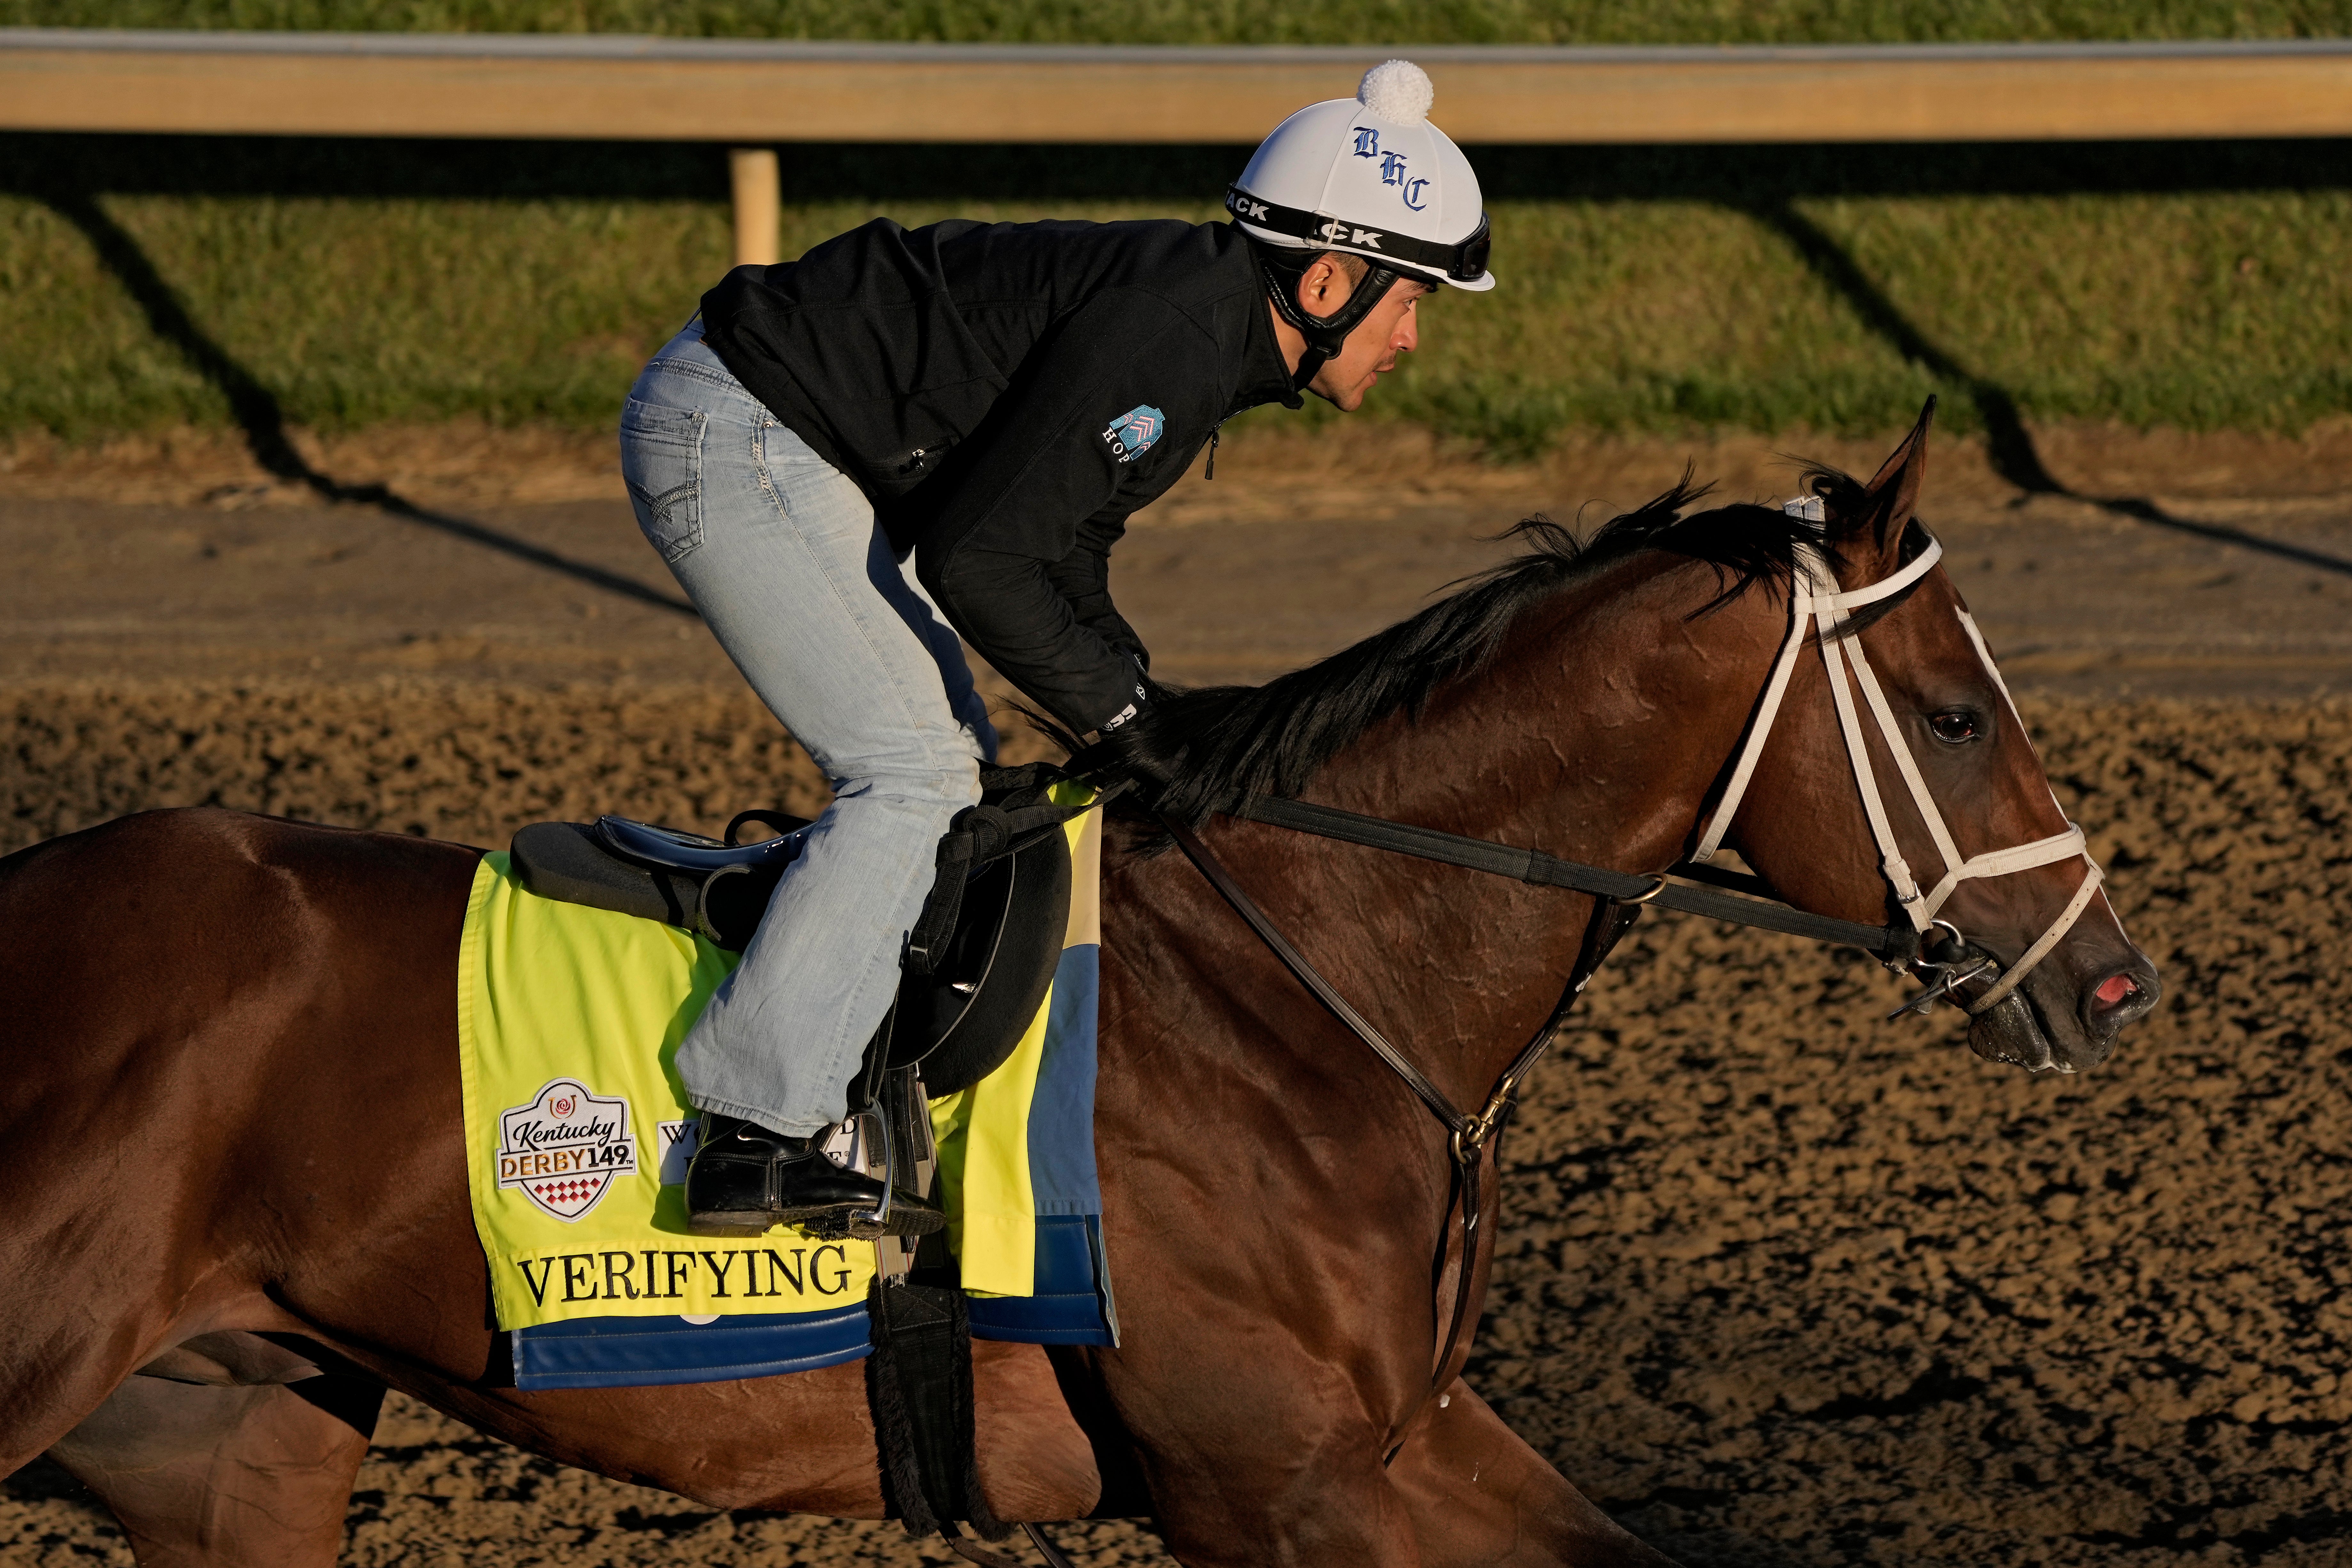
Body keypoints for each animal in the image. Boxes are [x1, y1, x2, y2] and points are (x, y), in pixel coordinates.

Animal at [0, 408, 2158, 1567]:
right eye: (1955, 714)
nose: (2114, 982)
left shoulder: (1398, 1439)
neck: (1313, 982)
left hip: (235, 1431)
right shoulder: (1258, 1485)